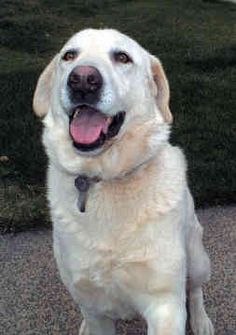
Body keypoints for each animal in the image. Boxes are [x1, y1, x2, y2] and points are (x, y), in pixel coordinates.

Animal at [32, 29, 214, 335]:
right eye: (69, 56)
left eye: (122, 57)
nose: (82, 80)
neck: (106, 177)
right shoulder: (94, 302)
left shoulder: (165, 304)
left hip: (197, 257)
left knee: (195, 289)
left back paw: (201, 321)